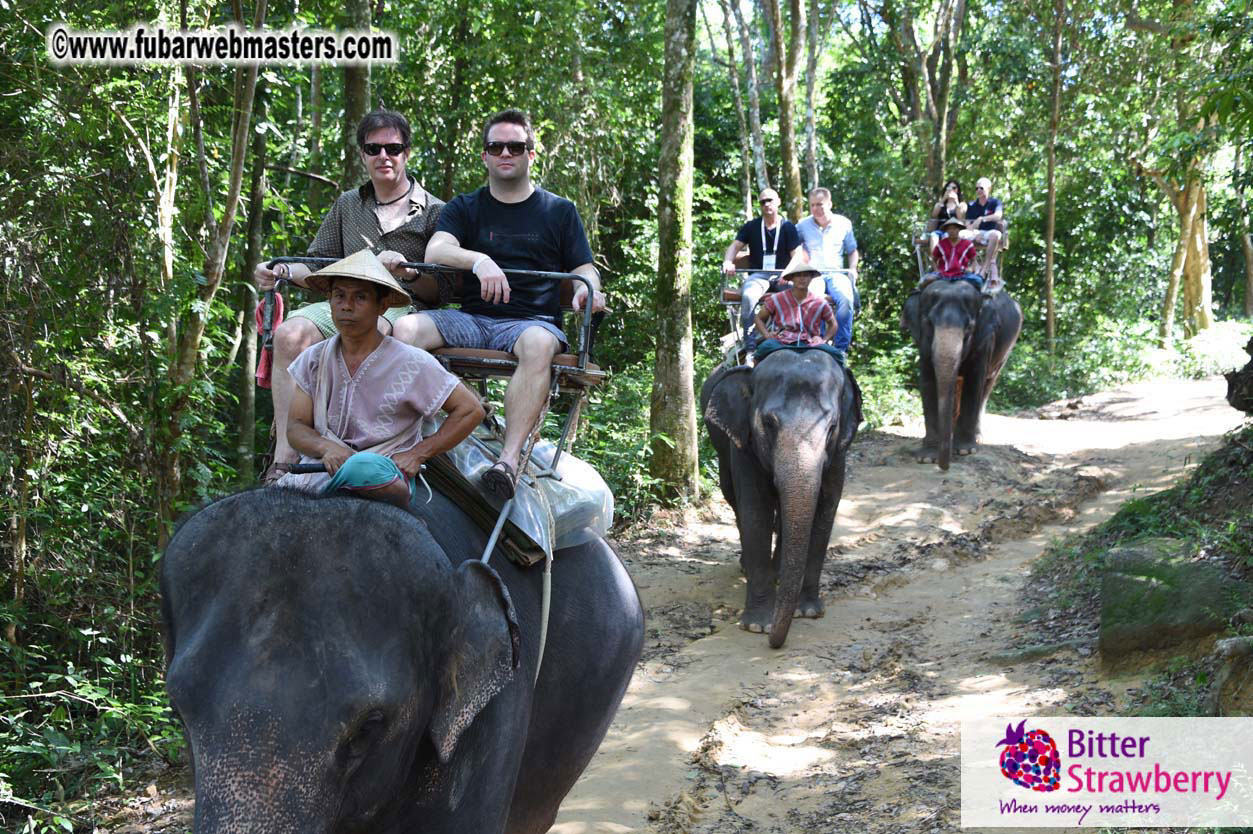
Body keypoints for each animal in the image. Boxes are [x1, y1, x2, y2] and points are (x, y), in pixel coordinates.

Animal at [700, 349, 862, 648]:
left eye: (832, 426)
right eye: (768, 423)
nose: (775, 643)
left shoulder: (838, 454)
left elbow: (826, 508)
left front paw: (808, 611)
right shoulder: (744, 444)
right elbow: (755, 510)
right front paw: (757, 625)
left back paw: (778, 574)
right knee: (732, 497)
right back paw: (748, 568)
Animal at [901, 280, 1023, 470]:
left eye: (970, 327)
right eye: (928, 323)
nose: (944, 467)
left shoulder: (985, 339)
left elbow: (974, 382)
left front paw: (965, 450)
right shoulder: (923, 343)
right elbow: (928, 383)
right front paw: (927, 458)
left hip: (1007, 349)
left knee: (987, 385)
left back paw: (977, 438)